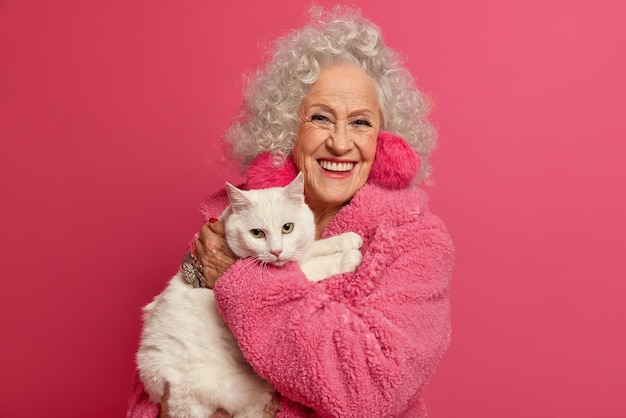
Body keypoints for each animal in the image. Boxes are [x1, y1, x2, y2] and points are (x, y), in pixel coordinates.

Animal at [136, 172, 360, 418]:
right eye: (256, 233)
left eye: (287, 228)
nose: (276, 251)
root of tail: (158, 383)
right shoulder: (285, 275)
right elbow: (316, 264)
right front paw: (347, 257)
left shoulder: (296, 254)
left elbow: (314, 247)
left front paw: (347, 239)